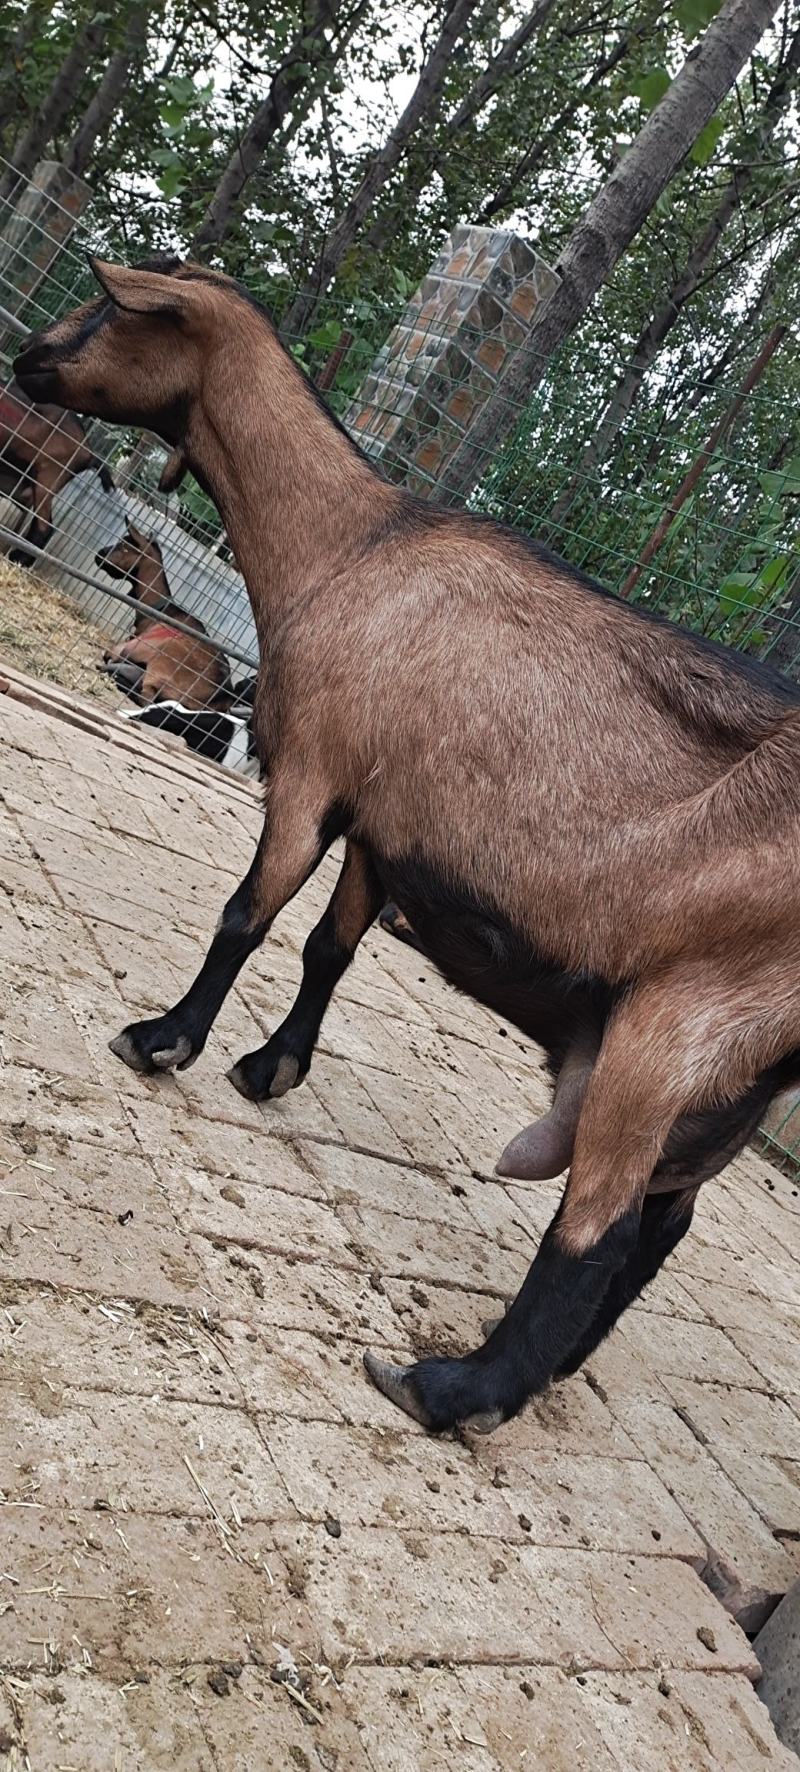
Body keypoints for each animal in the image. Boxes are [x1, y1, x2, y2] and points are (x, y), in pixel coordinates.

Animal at [14, 254, 800, 1440]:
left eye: (110, 307)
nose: (22, 359)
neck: (351, 547)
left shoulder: (309, 772)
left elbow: (246, 915)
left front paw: (163, 1040)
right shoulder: (384, 824)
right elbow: (327, 948)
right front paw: (269, 1066)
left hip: (678, 1029)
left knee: (599, 1225)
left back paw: (450, 1388)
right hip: (733, 1083)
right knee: (662, 1228)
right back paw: (553, 1367)